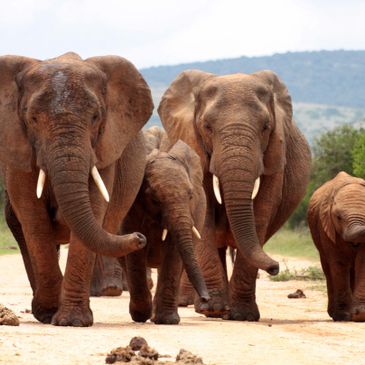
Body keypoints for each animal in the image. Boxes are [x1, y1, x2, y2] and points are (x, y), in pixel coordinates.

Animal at [0, 50, 152, 324]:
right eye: (32, 119)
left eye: (95, 117)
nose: (139, 237)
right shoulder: (17, 146)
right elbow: (33, 218)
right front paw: (48, 312)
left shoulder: (104, 148)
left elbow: (93, 208)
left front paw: (72, 321)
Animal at [121, 126, 209, 324]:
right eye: (154, 199)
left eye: (190, 195)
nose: (205, 299)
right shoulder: (131, 207)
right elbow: (135, 251)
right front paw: (141, 315)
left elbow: (174, 252)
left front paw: (167, 320)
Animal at [156, 68, 310, 318]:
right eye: (207, 127)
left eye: (266, 127)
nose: (275, 267)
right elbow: (205, 210)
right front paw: (214, 310)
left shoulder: (276, 154)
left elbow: (262, 211)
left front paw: (243, 315)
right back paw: (208, 307)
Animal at [308, 171, 365, 322]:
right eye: (338, 217)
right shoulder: (326, 227)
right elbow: (339, 263)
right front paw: (343, 316)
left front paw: (360, 315)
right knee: (329, 269)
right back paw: (335, 314)